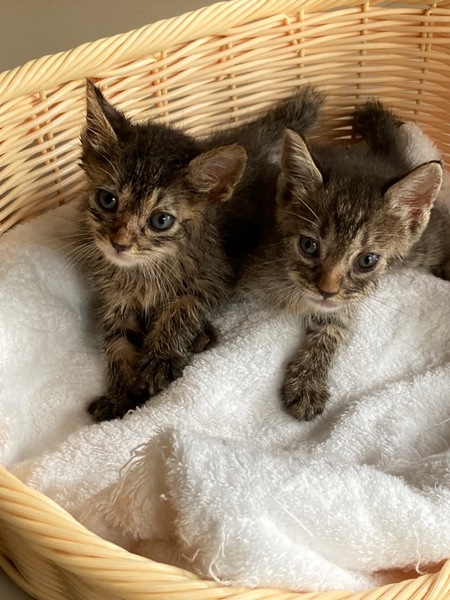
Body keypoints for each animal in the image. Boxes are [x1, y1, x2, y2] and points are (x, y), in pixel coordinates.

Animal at [79, 81, 322, 422]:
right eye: (107, 199)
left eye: (161, 220)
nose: (120, 243)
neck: (146, 270)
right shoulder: (116, 298)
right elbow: (118, 341)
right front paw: (120, 395)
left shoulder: (215, 276)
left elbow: (181, 309)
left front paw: (158, 361)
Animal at [240, 95, 443, 421]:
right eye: (308, 246)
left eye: (367, 261)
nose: (326, 291)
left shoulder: (345, 301)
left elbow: (334, 328)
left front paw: (307, 381)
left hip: (422, 246)